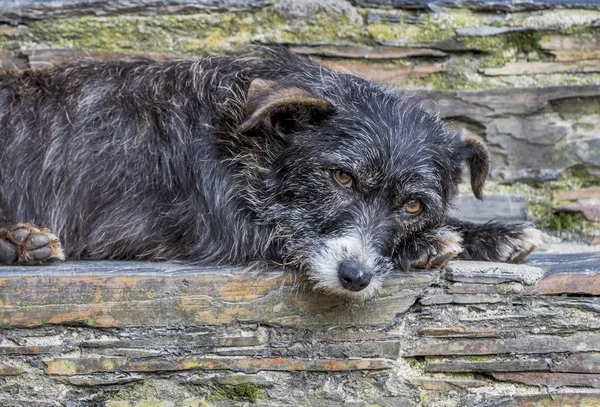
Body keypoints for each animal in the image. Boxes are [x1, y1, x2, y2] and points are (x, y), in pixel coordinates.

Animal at [0, 48, 540, 300]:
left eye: (412, 204)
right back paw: (18, 243)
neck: (247, 139)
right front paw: (427, 245)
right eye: (341, 178)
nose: (355, 277)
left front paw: (493, 233)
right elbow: (289, 235)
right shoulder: (229, 230)